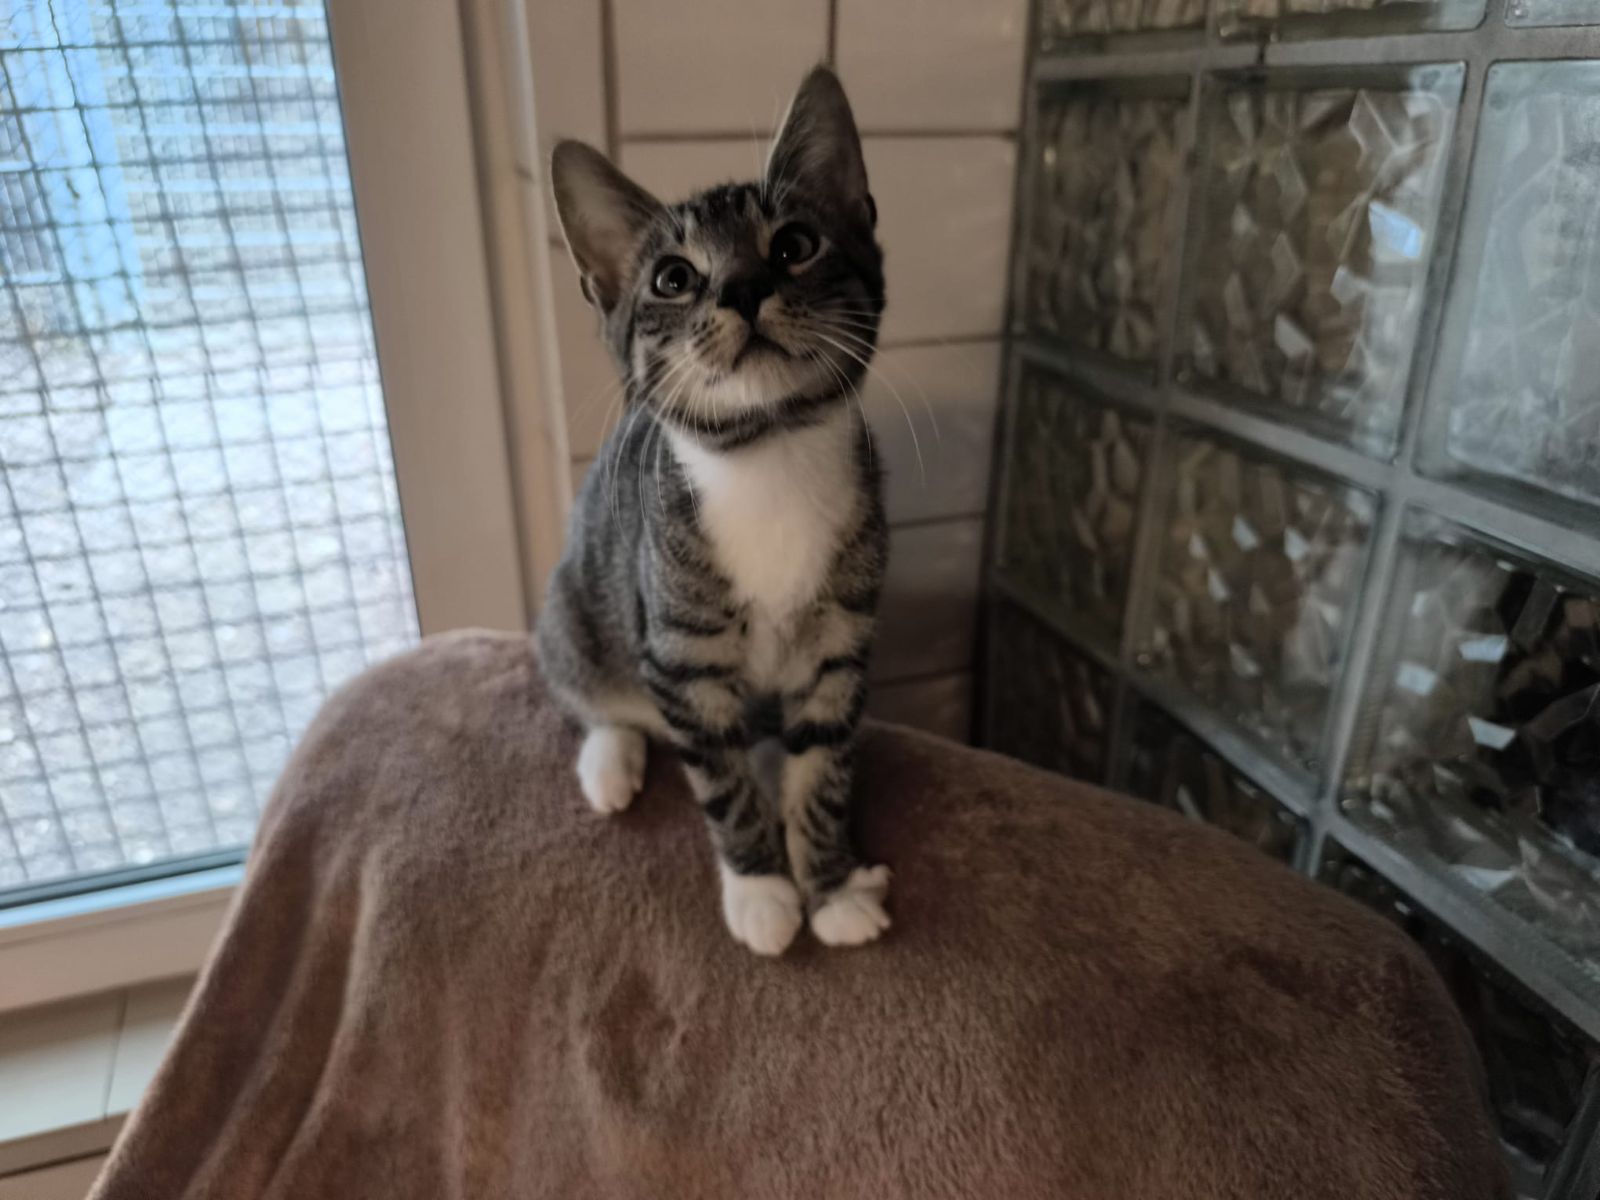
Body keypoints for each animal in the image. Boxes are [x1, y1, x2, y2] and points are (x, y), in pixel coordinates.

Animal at [536, 67, 889, 957]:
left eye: (793, 246)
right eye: (673, 278)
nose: (744, 287)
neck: (767, 455)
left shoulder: (841, 645)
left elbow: (824, 767)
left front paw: (832, 885)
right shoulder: (680, 656)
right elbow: (721, 782)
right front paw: (762, 889)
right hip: (574, 607)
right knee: (587, 693)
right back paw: (612, 761)